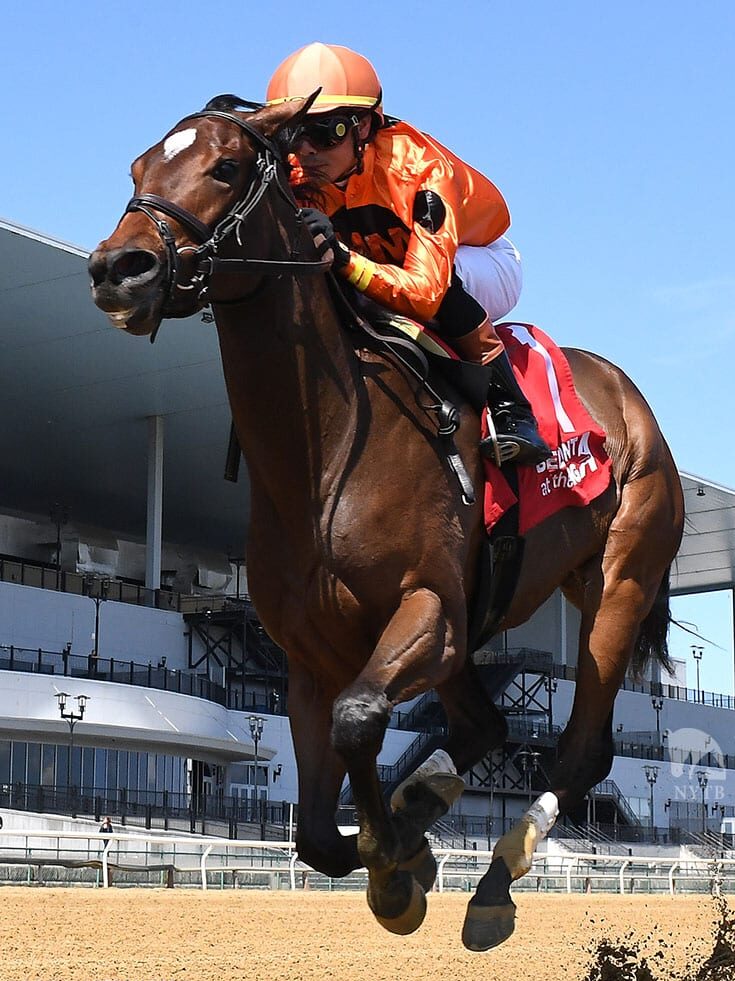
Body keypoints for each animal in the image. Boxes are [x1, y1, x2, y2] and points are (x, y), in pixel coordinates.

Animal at [89, 97, 688, 948]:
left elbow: (359, 718)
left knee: (578, 752)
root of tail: (628, 398)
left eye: (226, 167)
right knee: (486, 728)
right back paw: (424, 802)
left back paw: (494, 881)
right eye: (138, 168)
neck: (327, 450)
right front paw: (399, 848)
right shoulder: (311, 652)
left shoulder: (426, 607)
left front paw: (397, 868)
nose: (119, 268)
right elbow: (315, 823)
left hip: (618, 581)